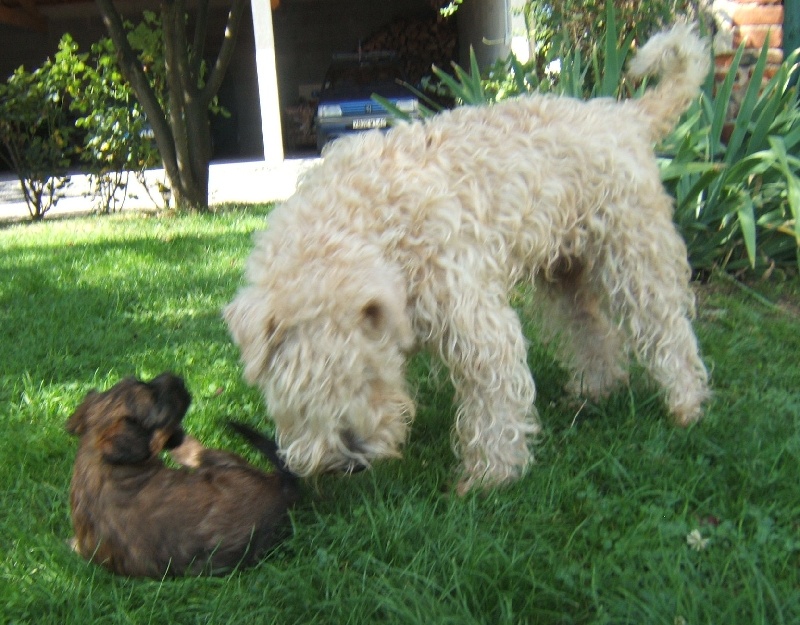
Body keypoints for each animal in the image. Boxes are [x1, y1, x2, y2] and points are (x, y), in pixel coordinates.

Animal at [67, 372, 298, 576]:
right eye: (157, 402)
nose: (178, 378)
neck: (100, 462)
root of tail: (280, 488)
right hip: (220, 460)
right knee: (198, 453)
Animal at [227, 23, 712, 492]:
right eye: (298, 388)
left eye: (367, 374)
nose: (350, 460)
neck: (370, 219)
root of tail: (624, 116)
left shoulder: (475, 321)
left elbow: (493, 402)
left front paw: (489, 477)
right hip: (565, 271)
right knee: (592, 330)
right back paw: (595, 390)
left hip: (634, 257)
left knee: (668, 329)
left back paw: (687, 405)